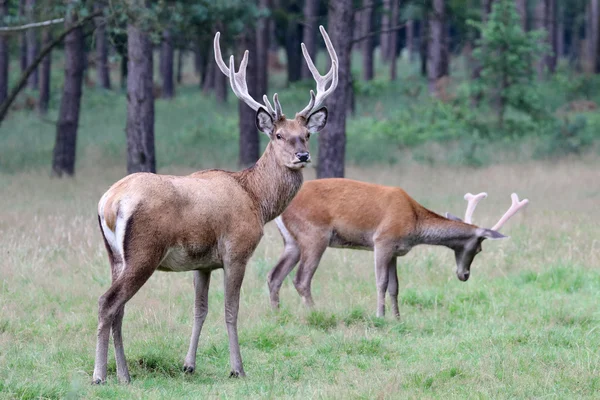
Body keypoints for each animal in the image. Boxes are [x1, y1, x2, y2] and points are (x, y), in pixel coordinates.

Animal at [92, 25, 340, 384]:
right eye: (278, 135)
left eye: (306, 134)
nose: (303, 156)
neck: (256, 199)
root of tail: (109, 203)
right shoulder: (236, 249)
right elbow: (230, 310)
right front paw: (238, 368)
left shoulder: (203, 263)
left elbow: (200, 310)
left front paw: (189, 364)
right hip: (144, 251)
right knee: (107, 302)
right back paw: (99, 374)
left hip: (115, 257)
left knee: (119, 308)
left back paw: (124, 374)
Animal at [270, 180, 528, 318]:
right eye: (478, 249)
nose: (464, 275)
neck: (414, 224)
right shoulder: (382, 241)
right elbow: (381, 282)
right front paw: (380, 315)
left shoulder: (395, 251)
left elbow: (395, 286)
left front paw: (397, 317)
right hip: (314, 235)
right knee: (301, 279)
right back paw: (316, 313)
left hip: (292, 242)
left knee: (274, 276)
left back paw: (277, 315)